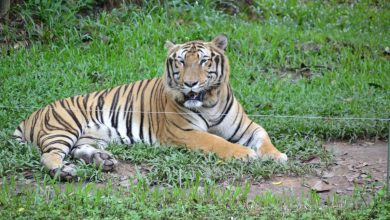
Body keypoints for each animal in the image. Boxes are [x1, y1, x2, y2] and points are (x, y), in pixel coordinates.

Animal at [12, 35, 286, 180]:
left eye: (203, 61)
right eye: (181, 62)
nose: (190, 83)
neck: (209, 102)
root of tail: (31, 115)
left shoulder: (248, 126)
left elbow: (264, 137)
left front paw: (276, 156)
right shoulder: (184, 133)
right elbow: (217, 142)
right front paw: (245, 154)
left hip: (91, 136)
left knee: (79, 150)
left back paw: (103, 160)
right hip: (63, 128)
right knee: (50, 155)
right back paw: (65, 172)